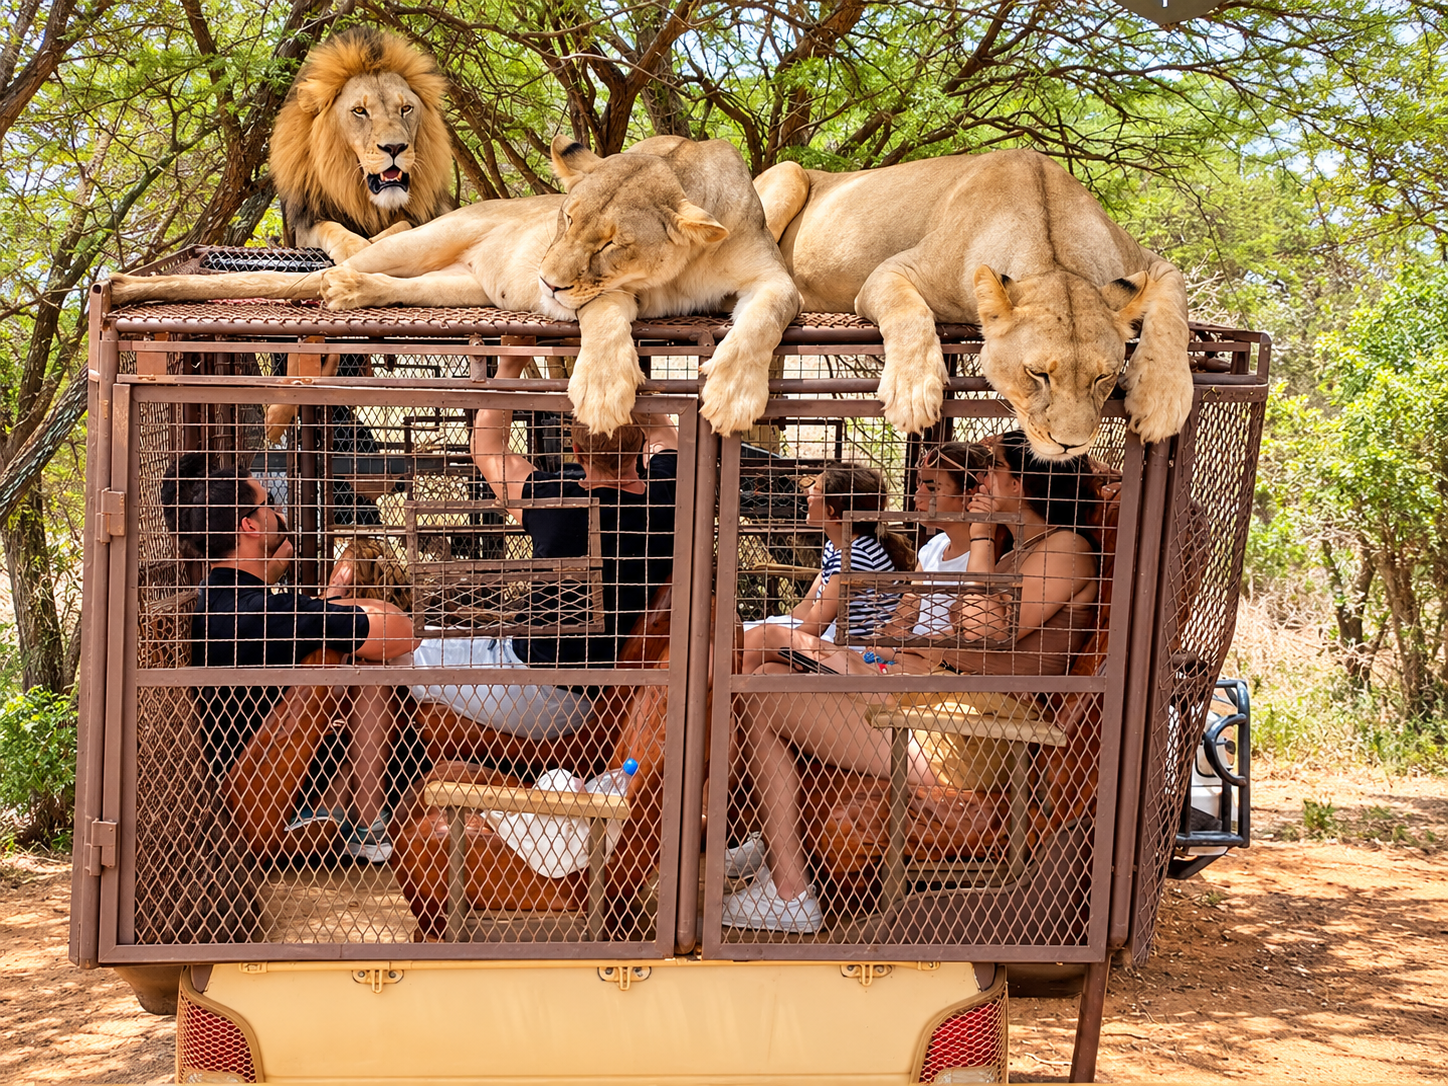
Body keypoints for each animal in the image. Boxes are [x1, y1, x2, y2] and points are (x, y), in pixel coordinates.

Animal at [109, 135, 800, 439]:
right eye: (565, 217)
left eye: (609, 243)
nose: (545, 281)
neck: (676, 271)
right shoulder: (612, 297)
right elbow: (604, 317)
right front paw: (604, 390)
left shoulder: (771, 277)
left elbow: (764, 317)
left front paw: (734, 394)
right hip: (425, 239)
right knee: (312, 277)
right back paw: (119, 287)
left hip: (452, 287)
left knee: (375, 284)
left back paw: (354, 294)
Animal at [270, 26, 455, 263]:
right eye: (360, 110)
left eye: (406, 108)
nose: (394, 148)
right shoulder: (306, 225)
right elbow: (329, 227)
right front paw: (354, 248)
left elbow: (407, 224)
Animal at [753, 149, 1193, 457]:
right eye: (1037, 374)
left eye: (1104, 377)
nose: (1070, 445)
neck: (1052, 250)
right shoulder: (888, 273)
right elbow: (909, 312)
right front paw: (913, 394)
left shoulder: (1152, 263)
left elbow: (1177, 314)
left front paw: (1161, 400)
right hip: (788, 172)